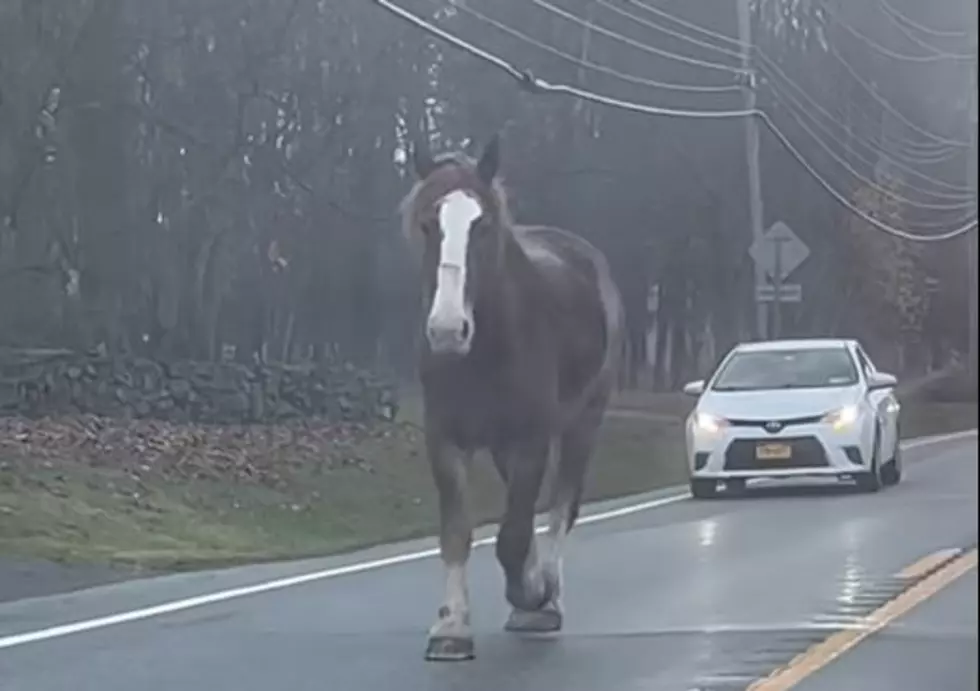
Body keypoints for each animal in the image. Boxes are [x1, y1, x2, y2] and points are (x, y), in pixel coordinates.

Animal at [400, 134, 624, 660]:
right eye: (428, 224)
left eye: (481, 225)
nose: (447, 330)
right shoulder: (445, 441)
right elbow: (457, 534)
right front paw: (451, 627)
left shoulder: (531, 440)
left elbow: (514, 536)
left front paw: (533, 594)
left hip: (582, 423)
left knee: (561, 507)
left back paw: (546, 597)